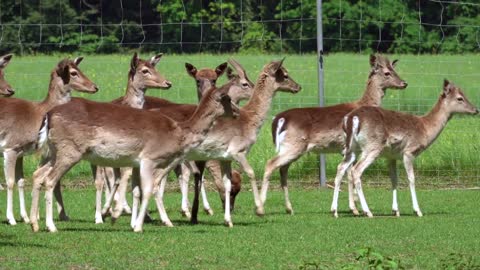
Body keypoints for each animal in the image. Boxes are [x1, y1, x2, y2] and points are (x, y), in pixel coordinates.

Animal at [0, 57, 98, 226]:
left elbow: (20, 181)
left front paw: (26, 218)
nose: (95, 87)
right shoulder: (10, 147)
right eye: (73, 72)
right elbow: (11, 181)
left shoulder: (21, 152)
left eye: (79, 68)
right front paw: (11, 219)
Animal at [29, 77, 239, 232]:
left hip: (54, 151)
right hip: (69, 151)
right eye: (227, 98)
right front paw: (138, 226)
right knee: (50, 180)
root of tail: (48, 115)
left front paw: (131, 222)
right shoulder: (149, 158)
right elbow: (148, 189)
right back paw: (51, 226)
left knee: (38, 174)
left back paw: (34, 224)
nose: (238, 113)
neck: (179, 133)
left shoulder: (137, 163)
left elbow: (137, 190)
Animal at [127, 58, 300, 227]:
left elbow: (225, 183)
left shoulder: (224, 158)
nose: (298, 86)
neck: (249, 119)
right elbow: (250, 173)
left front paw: (227, 220)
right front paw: (259, 209)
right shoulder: (237, 151)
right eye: (284, 74)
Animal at [256, 53, 406, 216]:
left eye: (394, 69)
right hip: (294, 145)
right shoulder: (350, 147)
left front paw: (353, 206)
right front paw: (355, 208)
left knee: (283, 169)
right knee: (271, 164)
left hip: (290, 147)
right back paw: (261, 207)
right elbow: (350, 173)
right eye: (387, 73)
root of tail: (278, 119)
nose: (404, 83)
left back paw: (289, 208)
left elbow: (348, 173)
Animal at [332, 79, 478, 218]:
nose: (476, 110)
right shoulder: (409, 151)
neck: (425, 129)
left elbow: (394, 179)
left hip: (351, 148)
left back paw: (335, 211)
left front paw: (396, 211)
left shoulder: (391, 156)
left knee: (341, 167)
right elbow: (411, 178)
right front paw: (417, 211)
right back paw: (368, 212)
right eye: (460, 98)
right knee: (356, 170)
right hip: (372, 147)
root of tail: (351, 118)